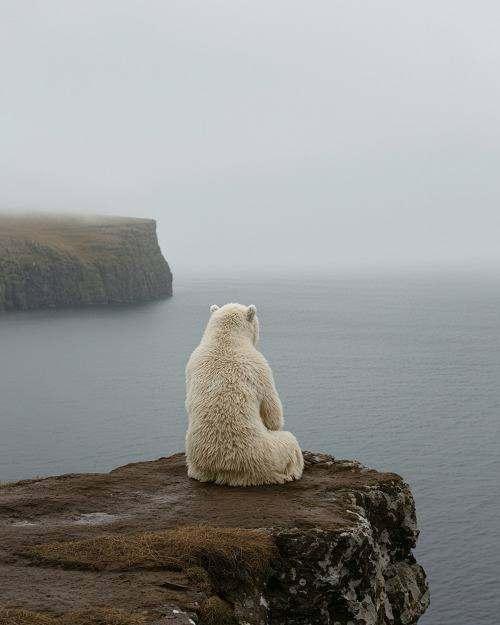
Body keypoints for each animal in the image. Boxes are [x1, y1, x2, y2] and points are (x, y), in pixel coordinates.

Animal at [186, 300, 302, 486]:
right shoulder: (260, 366)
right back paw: (290, 473)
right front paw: (275, 420)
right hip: (268, 455)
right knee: (290, 443)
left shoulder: (192, 362)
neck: (225, 341)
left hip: (197, 463)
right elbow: (272, 415)